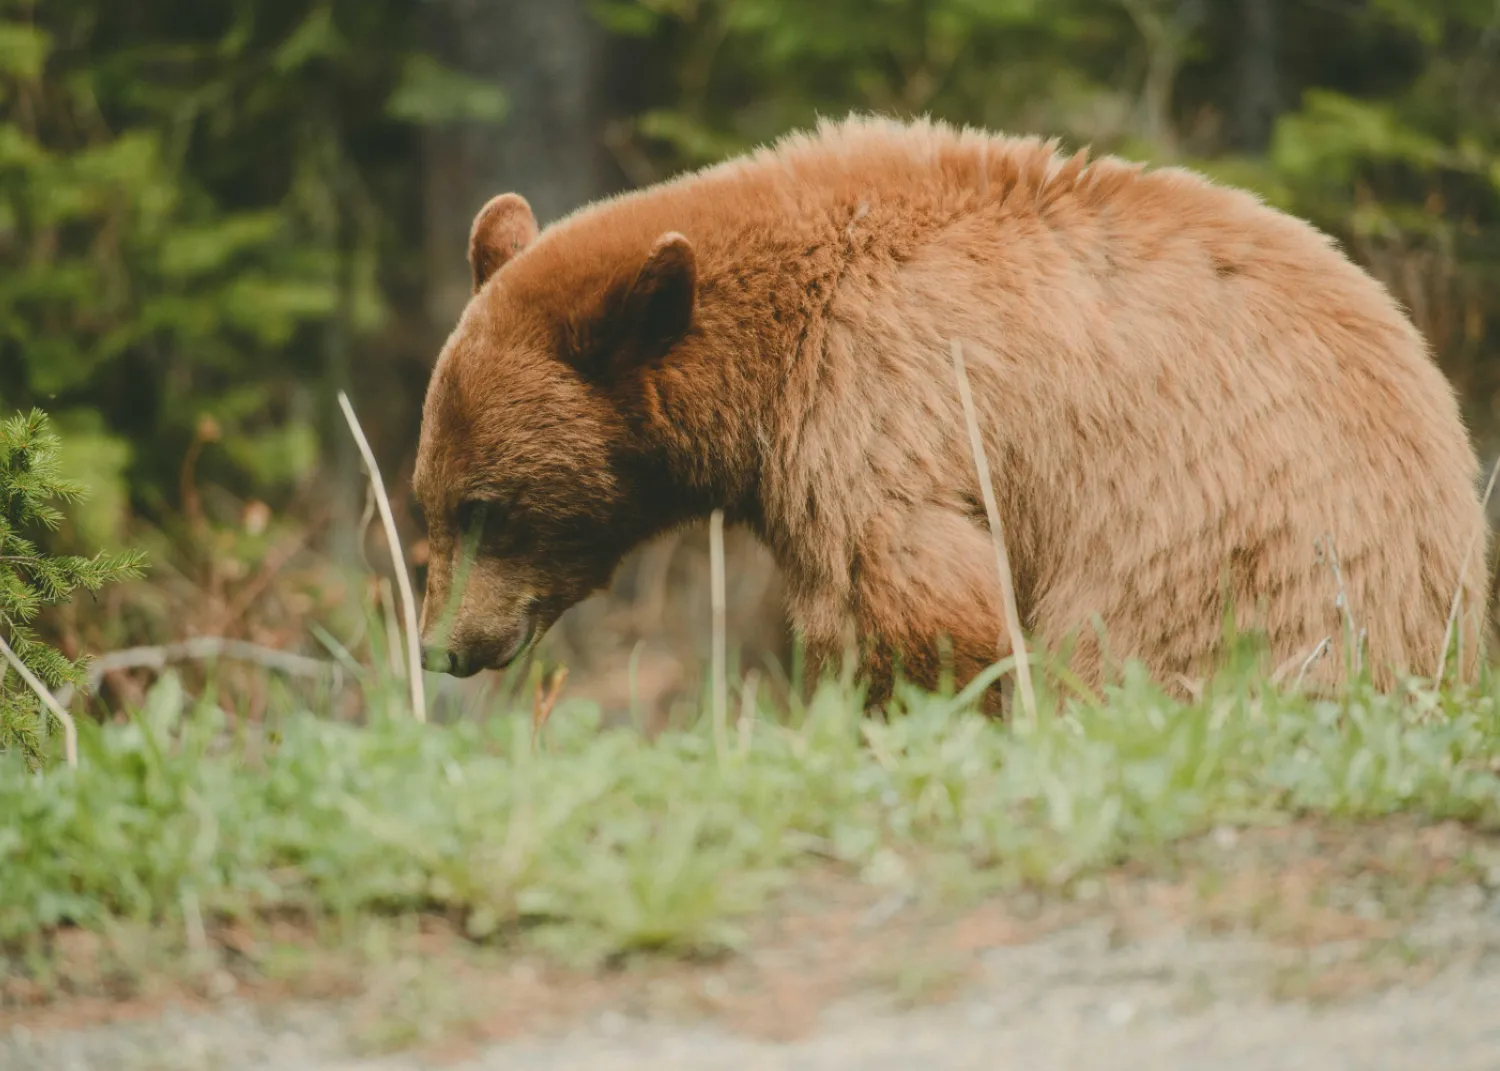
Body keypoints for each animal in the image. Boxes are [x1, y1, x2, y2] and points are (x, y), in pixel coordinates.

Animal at [411, 113, 1490, 711]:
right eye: (427, 502)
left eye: (486, 507)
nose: (441, 647)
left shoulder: (876, 401)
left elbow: (915, 601)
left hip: (1216, 556)